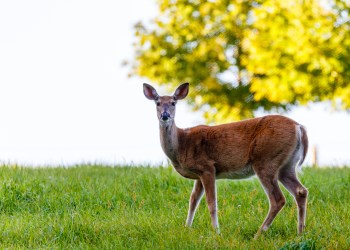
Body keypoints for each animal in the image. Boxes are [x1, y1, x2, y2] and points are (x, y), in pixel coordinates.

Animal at [144, 83, 308, 237]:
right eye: (157, 103)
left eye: (173, 102)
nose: (165, 115)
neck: (182, 144)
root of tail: (299, 127)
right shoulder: (199, 175)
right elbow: (193, 201)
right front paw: (187, 228)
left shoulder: (207, 167)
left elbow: (211, 203)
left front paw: (216, 232)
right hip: (286, 165)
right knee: (301, 191)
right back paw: (300, 233)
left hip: (266, 160)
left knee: (278, 199)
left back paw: (258, 234)